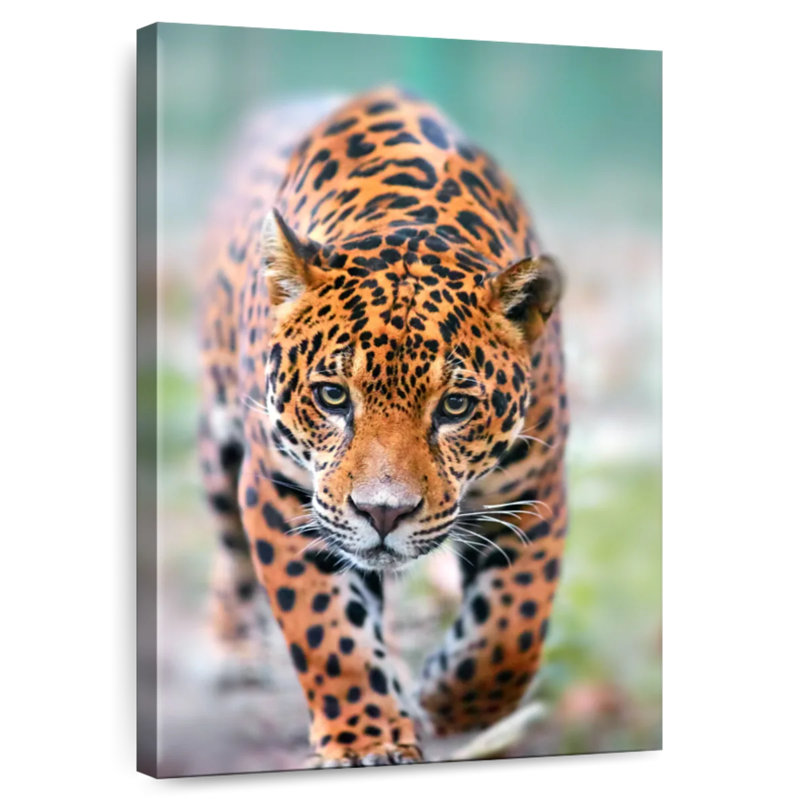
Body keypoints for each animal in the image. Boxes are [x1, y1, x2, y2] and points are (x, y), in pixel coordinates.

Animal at [198, 87, 568, 768]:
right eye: (332, 396)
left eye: (455, 407)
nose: (383, 513)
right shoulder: (280, 494)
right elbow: (325, 629)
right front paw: (367, 739)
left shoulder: (534, 492)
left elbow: (512, 630)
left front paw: (446, 703)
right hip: (220, 444)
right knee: (230, 548)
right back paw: (234, 648)